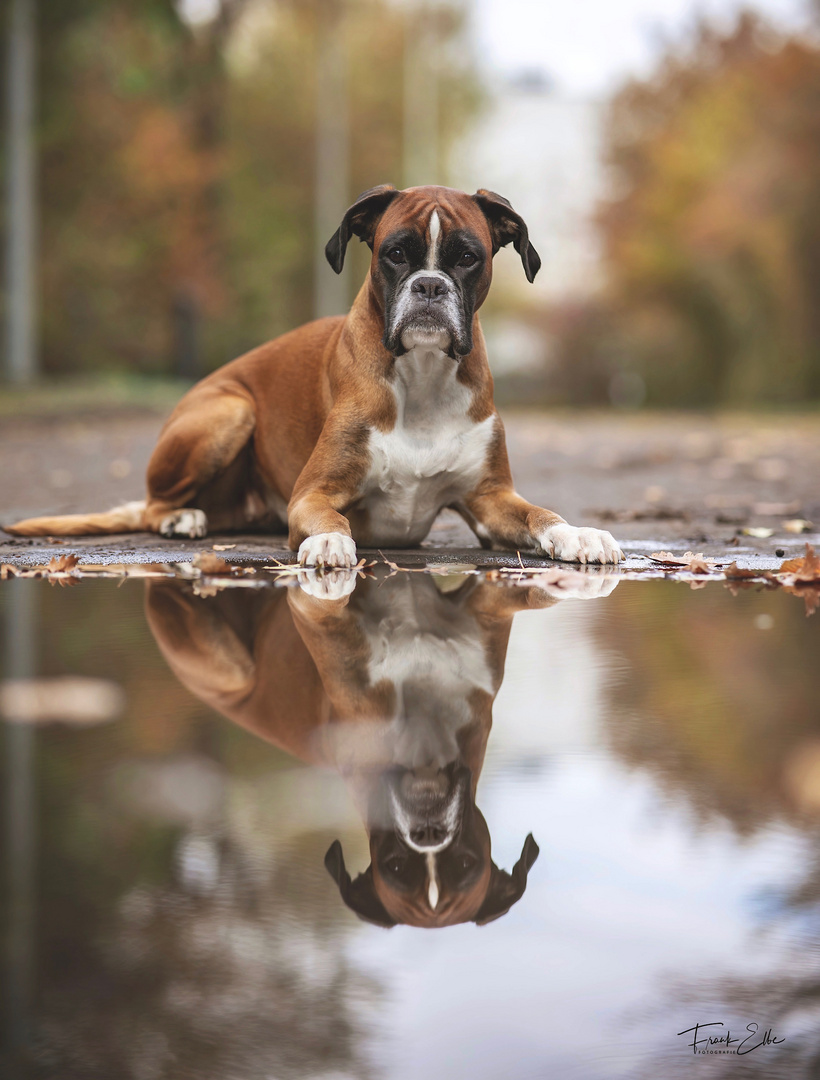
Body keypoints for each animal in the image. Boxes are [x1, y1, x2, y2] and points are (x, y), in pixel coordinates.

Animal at [6, 184, 622, 565]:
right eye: (395, 253)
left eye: (468, 257)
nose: (428, 286)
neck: (423, 375)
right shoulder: (312, 493)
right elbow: (331, 517)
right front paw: (329, 544)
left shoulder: (491, 499)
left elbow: (541, 513)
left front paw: (579, 534)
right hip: (230, 409)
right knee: (154, 501)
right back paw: (181, 517)